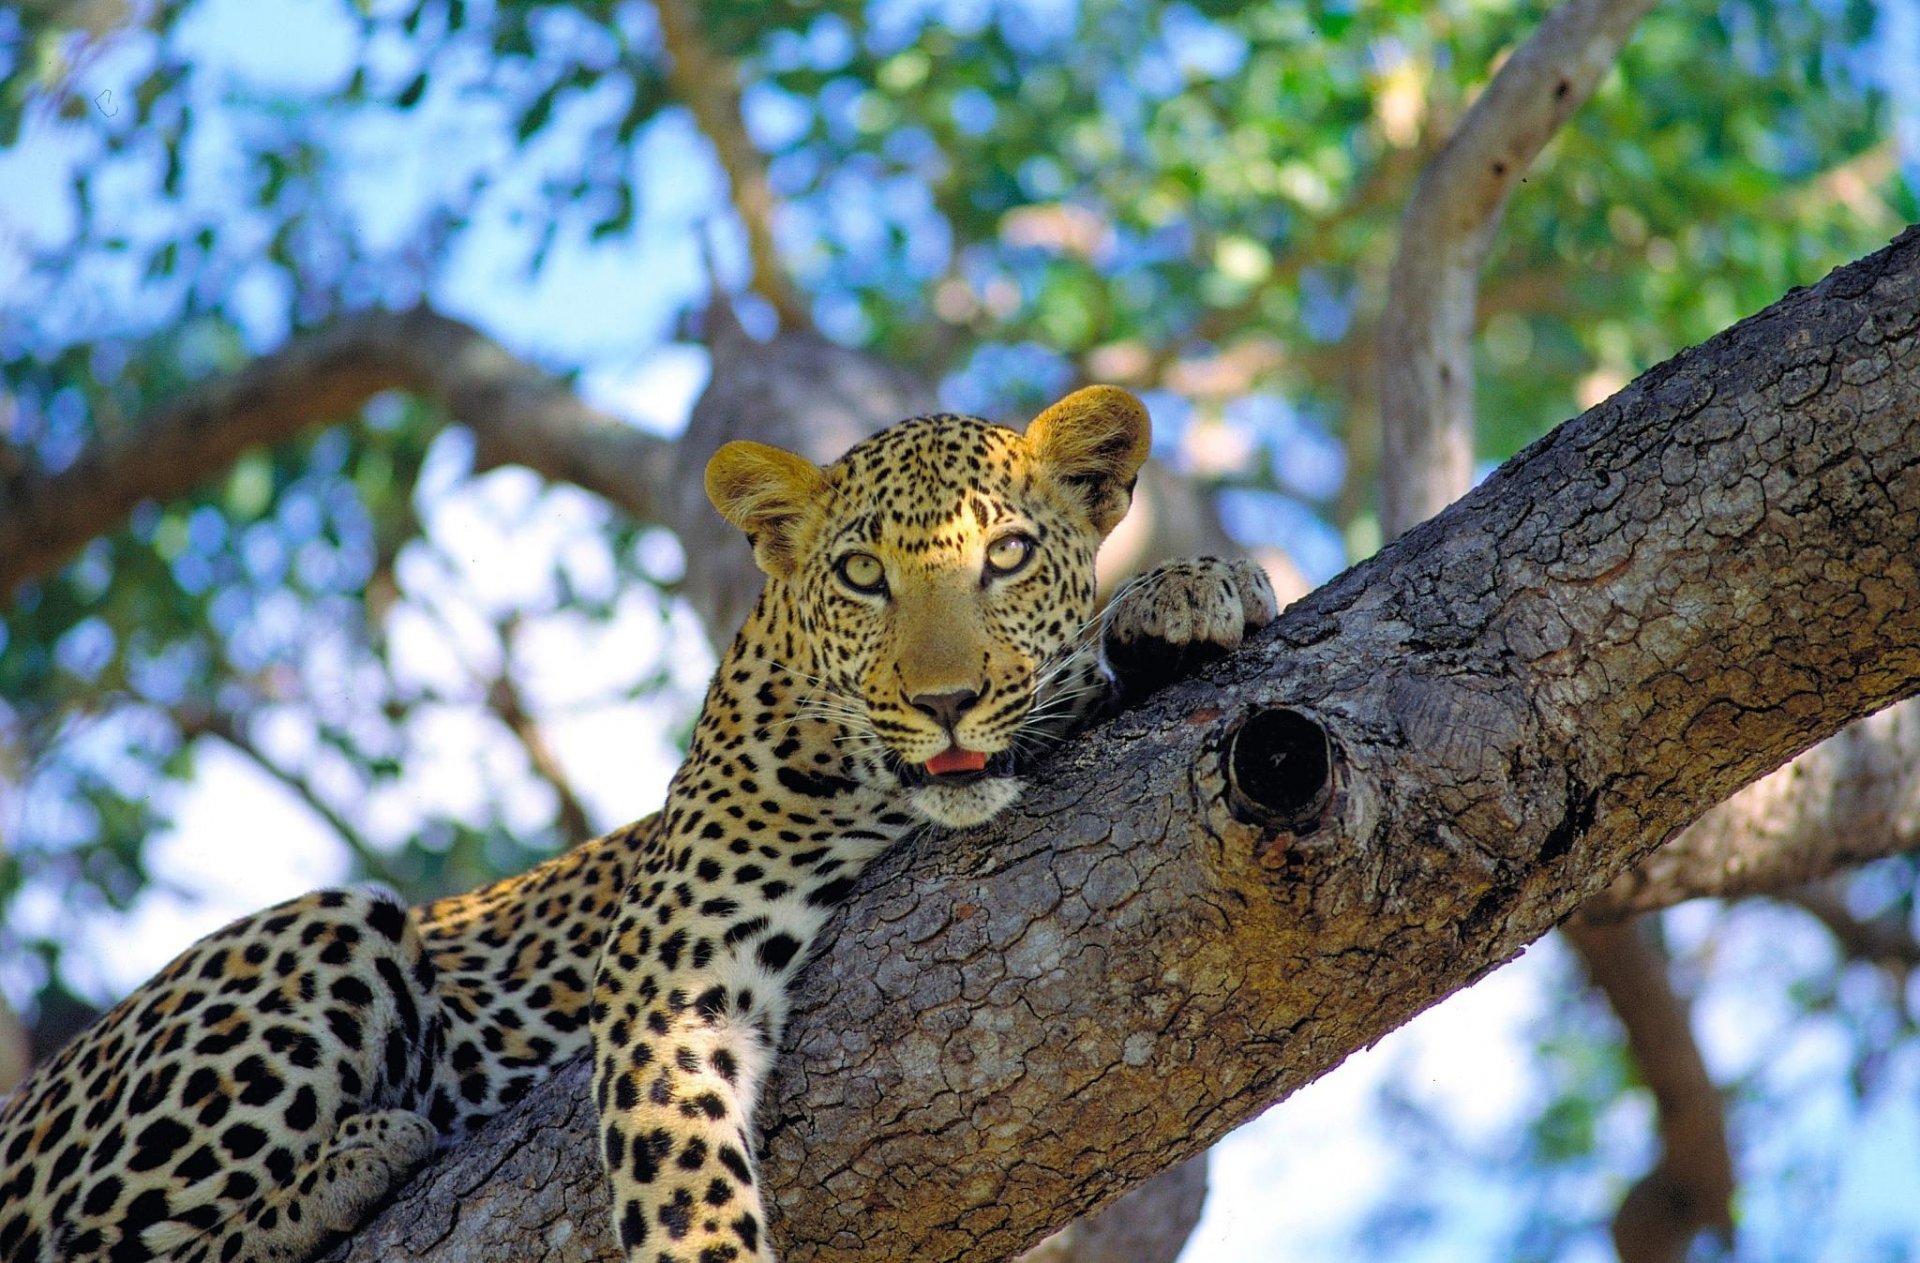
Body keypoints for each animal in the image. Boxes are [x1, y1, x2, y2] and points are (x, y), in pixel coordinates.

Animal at [0, 385, 1277, 1263]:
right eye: (863, 577)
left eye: (1008, 556)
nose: (945, 700)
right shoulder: (675, 970)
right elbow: (683, 1179)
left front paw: (1193, 589)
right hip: (325, 923)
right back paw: (355, 1159)